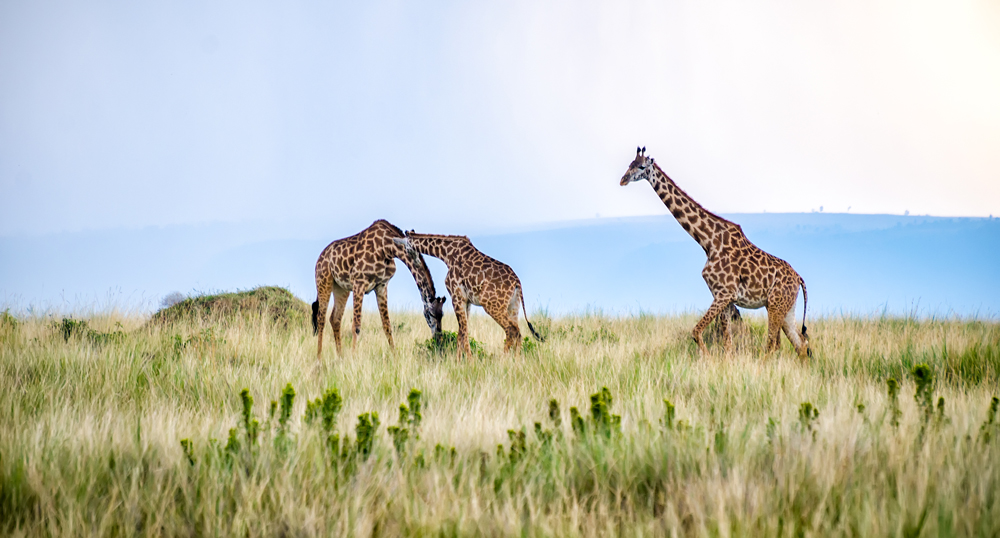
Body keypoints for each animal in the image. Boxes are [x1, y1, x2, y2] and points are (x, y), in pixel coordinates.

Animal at [312, 220, 446, 358]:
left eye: (442, 315)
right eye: (431, 314)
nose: (438, 338)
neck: (387, 248)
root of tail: (321, 256)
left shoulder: (382, 285)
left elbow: (387, 326)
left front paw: (394, 357)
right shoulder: (359, 282)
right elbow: (356, 326)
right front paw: (353, 358)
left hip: (341, 289)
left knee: (335, 318)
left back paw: (340, 357)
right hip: (324, 281)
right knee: (321, 318)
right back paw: (319, 357)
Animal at [392, 229, 548, 356]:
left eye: (407, 248)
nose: (417, 262)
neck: (446, 254)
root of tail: (517, 282)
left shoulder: (456, 295)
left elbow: (463, 331)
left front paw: (468, 362)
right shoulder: (467, 301)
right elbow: (462, 332)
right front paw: (459, 361)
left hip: (491, 305)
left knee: (511, 330)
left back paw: (503, 361)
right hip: (513, 306)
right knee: (518, 332)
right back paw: (516, 361)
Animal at [616, 144, 812, 358]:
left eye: (642, 167)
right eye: (630, 164)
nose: (623, 180)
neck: (708, 241)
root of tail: (799, 278)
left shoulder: (724, 294)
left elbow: (696, 331)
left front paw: (708, 359)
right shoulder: (722, 296)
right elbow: (728, 345)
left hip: (776, 305)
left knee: (772, 345)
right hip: (785, 308)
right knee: (800, 345)